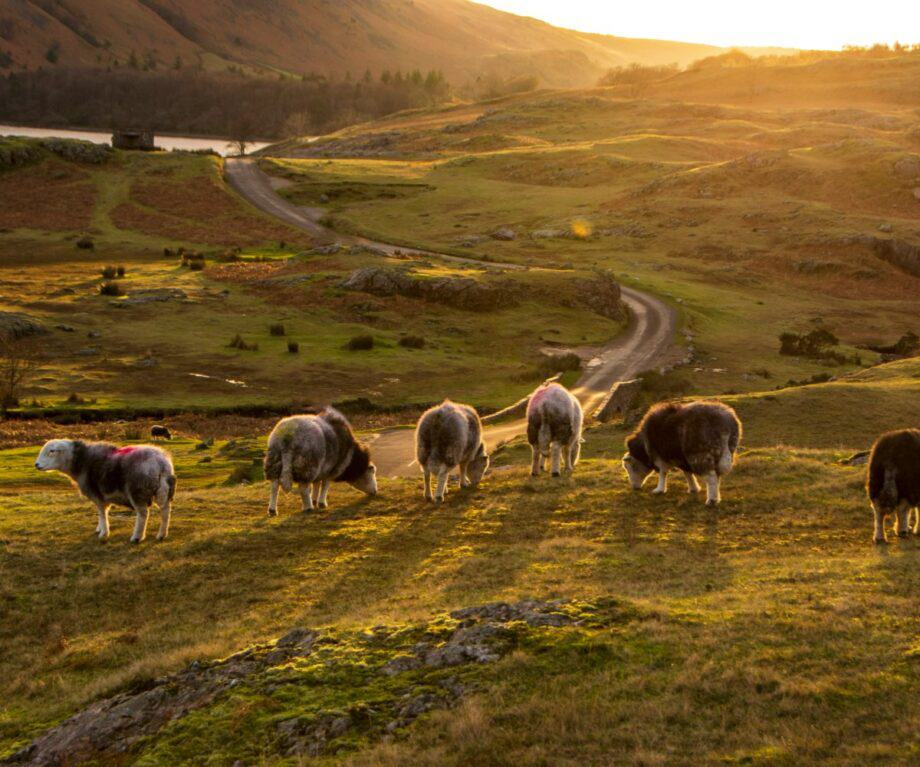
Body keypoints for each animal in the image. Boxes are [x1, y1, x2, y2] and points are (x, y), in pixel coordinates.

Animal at [33, 440, 176, 544]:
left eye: (52, 451)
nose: (37, 465)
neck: (80, 462)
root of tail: (161, 463)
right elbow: (101, 513)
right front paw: (100, 529)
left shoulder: (97, 495)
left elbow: (102, 513)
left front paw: (104, 533)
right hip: (163, 490)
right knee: (165, 511)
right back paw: (162, 534)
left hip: (138, 490)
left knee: (143, 514)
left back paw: (137, 537)